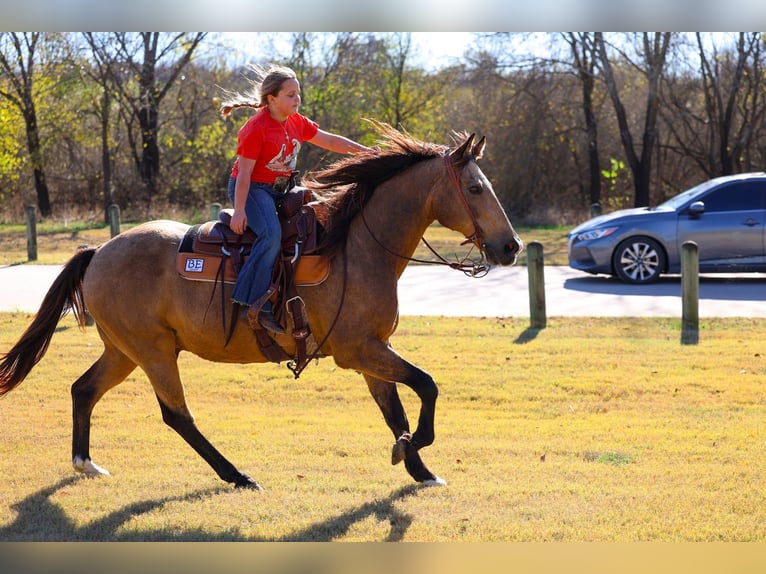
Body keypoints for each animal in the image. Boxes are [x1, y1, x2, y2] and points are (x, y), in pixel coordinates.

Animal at [0, 123, 523, 490]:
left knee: (84, 389)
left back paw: (86, 463)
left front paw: (417, 466)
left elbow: (395, 409)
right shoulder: (357, 350)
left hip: (123, 350)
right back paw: (237, 475)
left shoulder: (373, 351)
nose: (511, 246)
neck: (354, 246)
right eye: (474, 188)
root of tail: (99, 251)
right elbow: (426, 385)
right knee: (177, 415)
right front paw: (414, 447)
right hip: (152, 351)